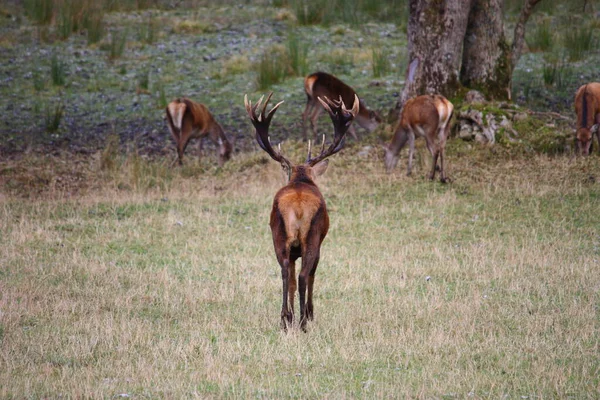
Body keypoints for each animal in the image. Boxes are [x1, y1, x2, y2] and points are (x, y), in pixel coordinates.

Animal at [244, 91, 356, 332]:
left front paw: (293, 314)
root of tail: (296, 208)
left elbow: (293, 281)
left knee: (286, 271)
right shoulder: (319, 244)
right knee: (305, 274)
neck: (301, 179)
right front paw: (309, 313)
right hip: (312, 237)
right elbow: (310, 276)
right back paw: (304, 322)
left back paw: (285, 318)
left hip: (278, 236)